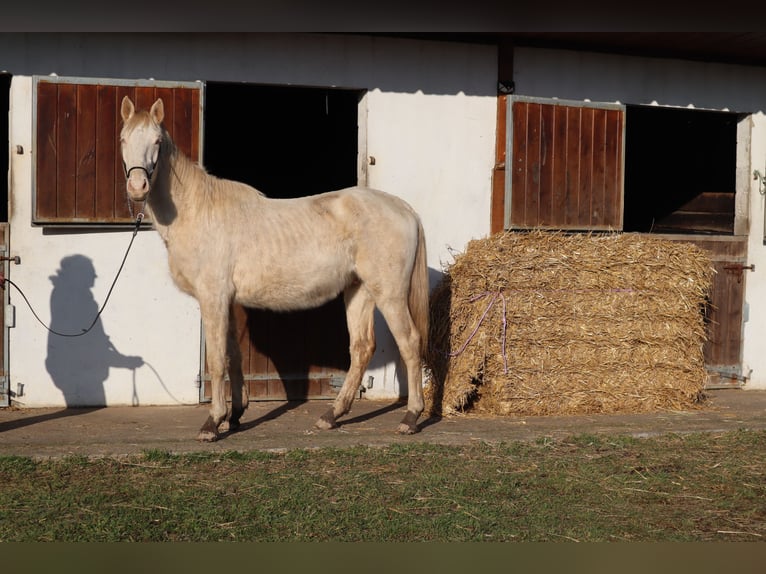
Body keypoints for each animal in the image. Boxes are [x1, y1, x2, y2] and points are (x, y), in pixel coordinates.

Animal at [120, 97, 432, 444]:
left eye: (157, 142)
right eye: (123, 139)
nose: (137, 186)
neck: (199, 211)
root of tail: (404, 209)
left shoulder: (213, 298)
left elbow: (217, 359)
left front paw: (213, 423)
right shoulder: (227, 301)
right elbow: (233, 356)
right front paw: (235, 415)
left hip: (389, 293)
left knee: (409, 342)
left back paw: (410, 417)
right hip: (359, 290)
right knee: (362, 348)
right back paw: (331, 416)